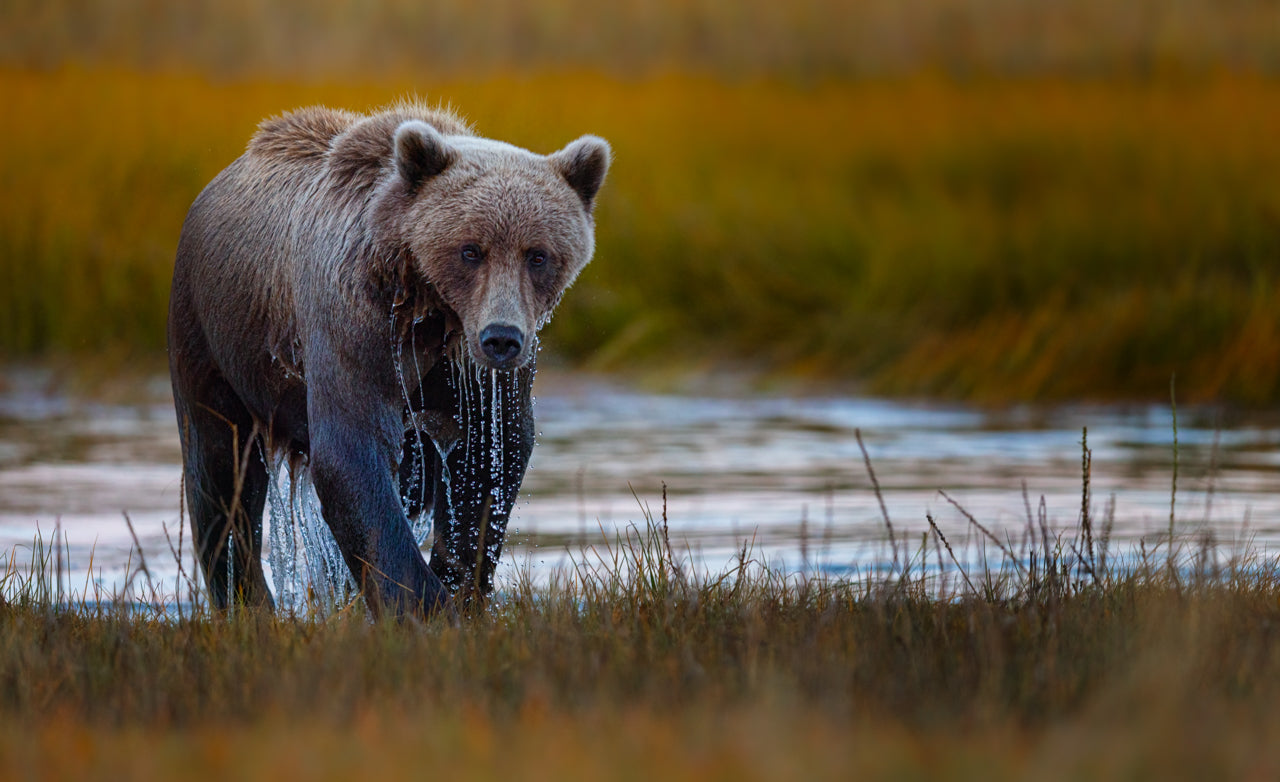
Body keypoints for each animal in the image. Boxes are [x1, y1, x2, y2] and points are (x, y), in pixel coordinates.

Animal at [166, 102, 609, 616]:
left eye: (537, 255)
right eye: (470, 250)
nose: (501, 337)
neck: (430, 306)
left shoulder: (474, 373)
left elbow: (487, 460)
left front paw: (458, 586)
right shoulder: (357, 322)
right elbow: (351, 453)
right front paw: (425, 605)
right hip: (213, 328)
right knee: (221, 470)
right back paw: (248, 603)